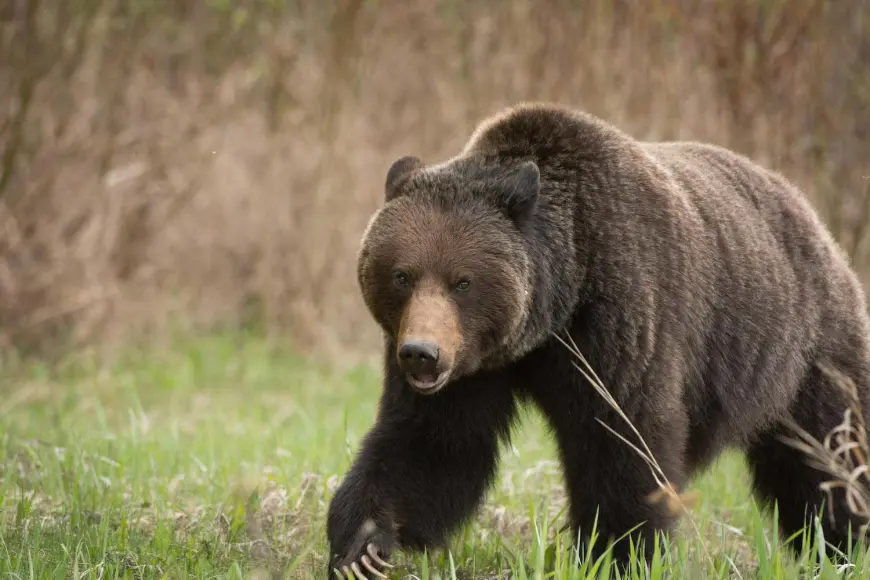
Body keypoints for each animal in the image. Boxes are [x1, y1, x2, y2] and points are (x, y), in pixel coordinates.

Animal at [326, 101, 870, 576]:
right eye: (402, 275)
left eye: (462, 281)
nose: (421, 354)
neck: (554, 309)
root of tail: (809, 214)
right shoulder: (475, 367)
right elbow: (434, 445)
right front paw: (363, 544)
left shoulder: (621, 320)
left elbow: (623, 442)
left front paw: (617, 552)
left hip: (803, 348)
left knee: (831, 454)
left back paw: (846, 542)